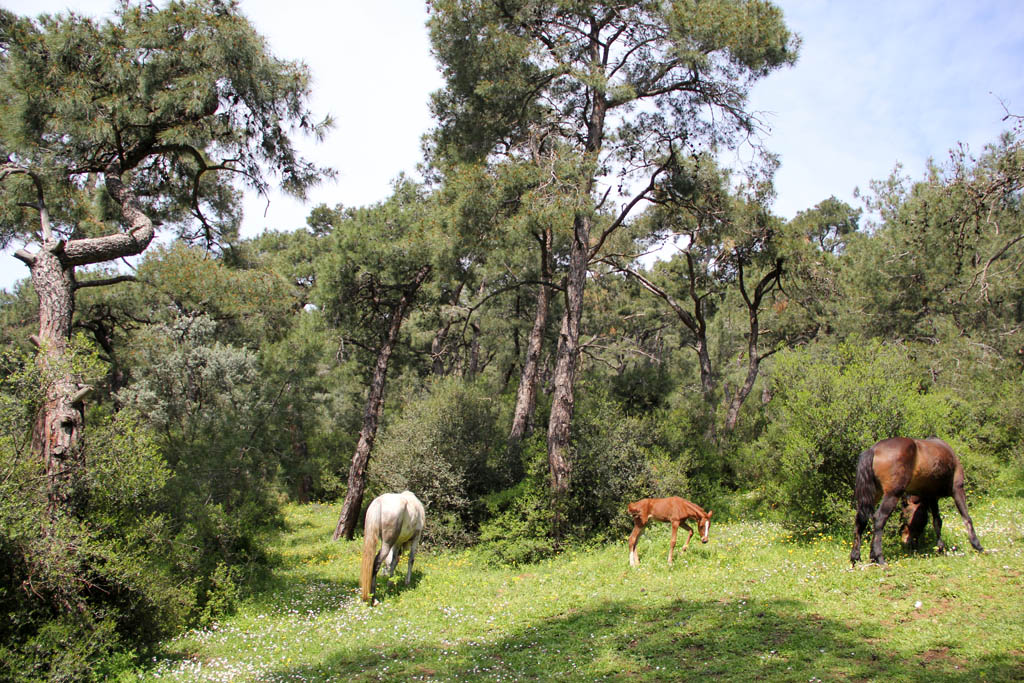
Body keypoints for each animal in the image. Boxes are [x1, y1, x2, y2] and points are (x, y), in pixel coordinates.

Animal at [850, 437, 983, 567]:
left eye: (905, 517)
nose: (906, 541)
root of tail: (873, 450)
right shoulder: (957, 489)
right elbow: (966, 518)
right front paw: (977, 545)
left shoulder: (931, 496)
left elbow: (937, 521)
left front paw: (940, 548)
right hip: (892, 494)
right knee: (879, 519)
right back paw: (879, 558)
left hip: (875, 494)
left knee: (861, 520)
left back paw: (856, 557)